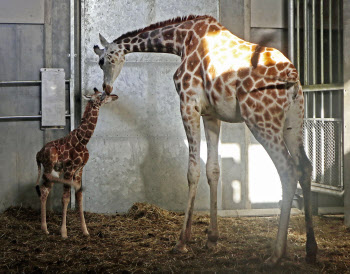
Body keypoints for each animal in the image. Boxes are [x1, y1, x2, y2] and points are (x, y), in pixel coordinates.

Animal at [35, 88, 119, 238]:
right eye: (101, 95)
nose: (115, 96)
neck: (83, 140)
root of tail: (38, 154)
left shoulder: (79, 169)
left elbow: (79, 197)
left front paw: (85, 231)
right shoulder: (69, 169)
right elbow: (66, 198)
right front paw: (63, 232)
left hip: (55, 170)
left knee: (44, 190)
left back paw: (45, 229)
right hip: (50, 165)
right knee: (47, 183)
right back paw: (45, 228)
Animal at [93, 15, 318, 266]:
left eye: (102, 61)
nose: (106, 88)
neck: (181, 40)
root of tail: (293, 79)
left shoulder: (188, 104)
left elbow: (193, 171)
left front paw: (182, 241)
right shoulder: (211, 114)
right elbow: (213, 170)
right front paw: (211, 238)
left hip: (261, 121)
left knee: (288, 171)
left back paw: (276, 253)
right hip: (293, 122)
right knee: (305, 167)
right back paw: (310, 250)